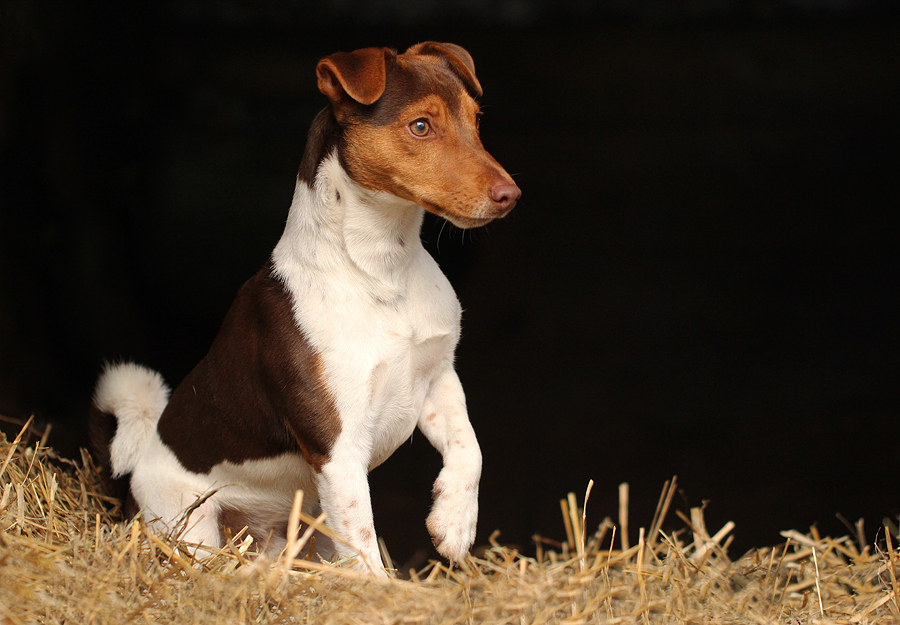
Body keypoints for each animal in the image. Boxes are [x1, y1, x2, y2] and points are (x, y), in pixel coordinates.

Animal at [88, 41, 520, 576]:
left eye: (476, 120)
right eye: (421, 126)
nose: (510, 195)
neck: (382, 266)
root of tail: (131, 477)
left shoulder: (437, 377)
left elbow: (470, 448)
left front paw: (454, 524)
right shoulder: (338, 447)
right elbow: (362, 543)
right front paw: (383, 588)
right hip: (192, 526)